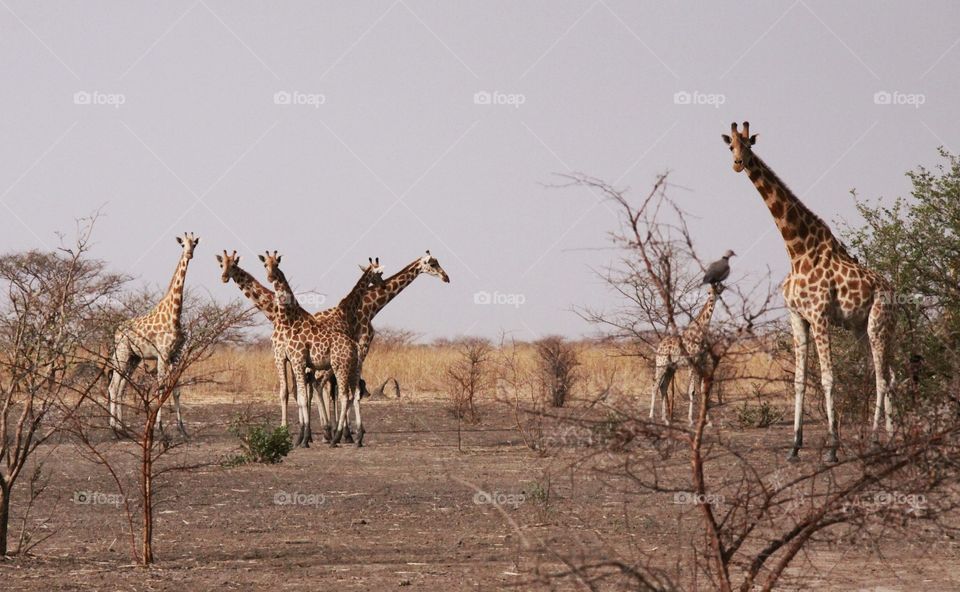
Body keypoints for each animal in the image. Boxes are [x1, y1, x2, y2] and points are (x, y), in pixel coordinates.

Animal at [108, 234, 200, 438]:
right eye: (183, 244)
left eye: (195, 244)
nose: (189, 254)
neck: (174, 315)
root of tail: (117, 330)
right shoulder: (162, 354)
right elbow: (160, 388)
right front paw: (159, 429)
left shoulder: (175, 356)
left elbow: (176, 390)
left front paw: (183, 430)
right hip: (122, 353)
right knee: (113, 386)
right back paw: (114, 429)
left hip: (133, 358)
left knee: (120, 387)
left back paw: (121, 428)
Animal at [258, 250, 376, 448]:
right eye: (265, 264)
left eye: (277, 263)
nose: (270, 276)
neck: (288, 320)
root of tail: (354, 344)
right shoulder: (293, 361)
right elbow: (299, 396)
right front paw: (302, 437)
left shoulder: (296, 361)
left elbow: (303, 397)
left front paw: (304, 438)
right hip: (350, 367)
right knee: (353, 394)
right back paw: (353, 437)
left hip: (340, 367)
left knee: (345, 395)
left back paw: (337, 437)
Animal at [652, 284, 720, 426]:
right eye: (708, 292)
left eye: (717, 291)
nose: (711, 299)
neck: (700, 333)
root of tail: (659, 345)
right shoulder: (692, 363)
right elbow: (692, 391)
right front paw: (691, 420)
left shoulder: (702, 363)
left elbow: (703, 390)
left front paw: (709, 421)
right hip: (661, 364)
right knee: (655, 385)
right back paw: (651, 417)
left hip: (670, 368)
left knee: (663, 387)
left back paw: (665, 420)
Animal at [724, 121, 896, 462]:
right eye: (730, 146)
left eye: (749, 145)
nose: (738, 164)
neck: (796, 250)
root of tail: (897, 297)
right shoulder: (797, 316)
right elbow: (799, 381)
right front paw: (794, 446)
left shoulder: (819, 314)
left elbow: (828, 379)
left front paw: (832, 448)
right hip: (862, 329)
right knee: (885, 374)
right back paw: (895, 436)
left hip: (877, 324)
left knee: (882, 379)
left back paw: (874, 441)